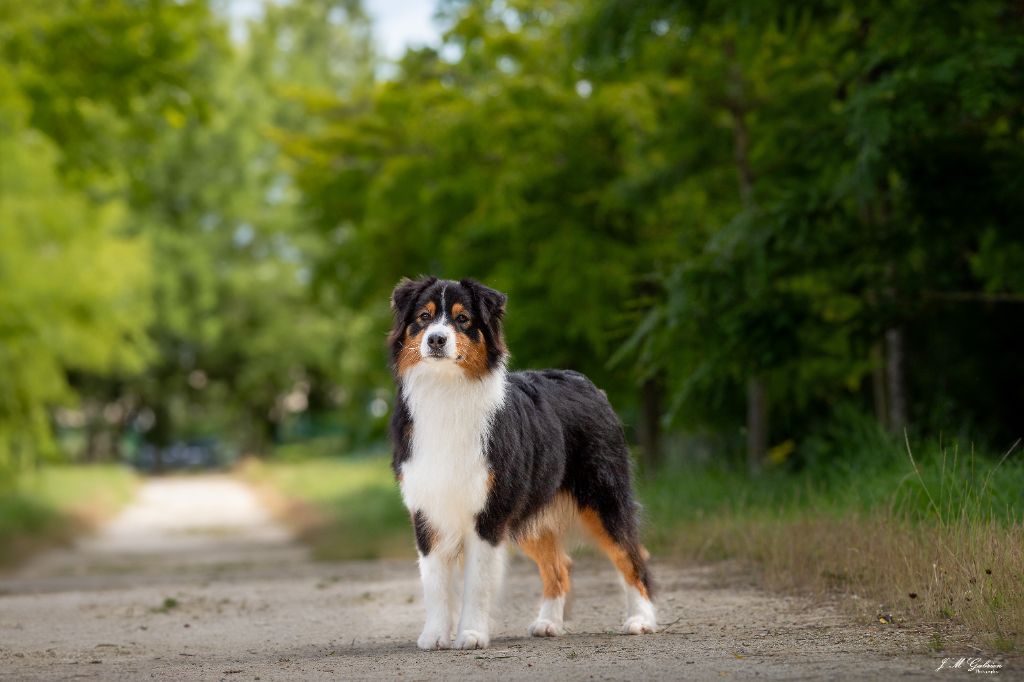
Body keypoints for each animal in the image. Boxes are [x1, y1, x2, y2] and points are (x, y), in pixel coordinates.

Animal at [385, 274, 655, 647]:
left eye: (463, 319)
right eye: (424, 317)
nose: (436, 339)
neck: (446, 391)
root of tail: (589, 384)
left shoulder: (489, 513)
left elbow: (477, 583)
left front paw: (471, 634)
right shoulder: (428, 508)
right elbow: (435, 581)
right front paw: (436, 635)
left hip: (603, 499)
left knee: (632, 554)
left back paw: (641, 619)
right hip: (530, 511)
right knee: (560, 565)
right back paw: (549, 623)